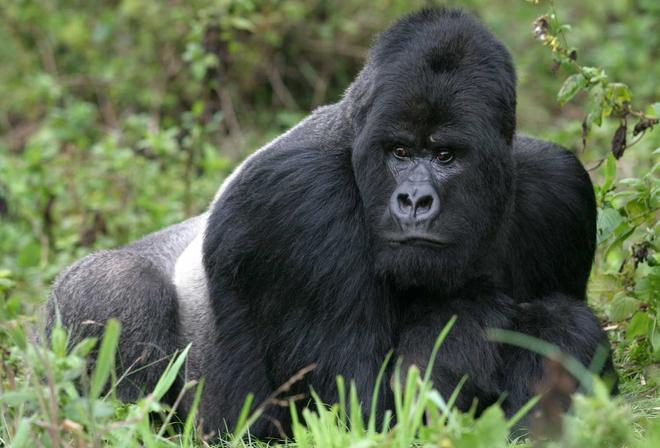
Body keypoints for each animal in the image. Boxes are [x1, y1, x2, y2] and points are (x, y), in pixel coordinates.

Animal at [46, 8, 612, 440]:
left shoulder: (558, 189)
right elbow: (359, 410)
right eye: (399, 152)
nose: (414, 200)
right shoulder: (300, 200)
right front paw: (466, 318)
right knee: (119, 286)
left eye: (445, 155)